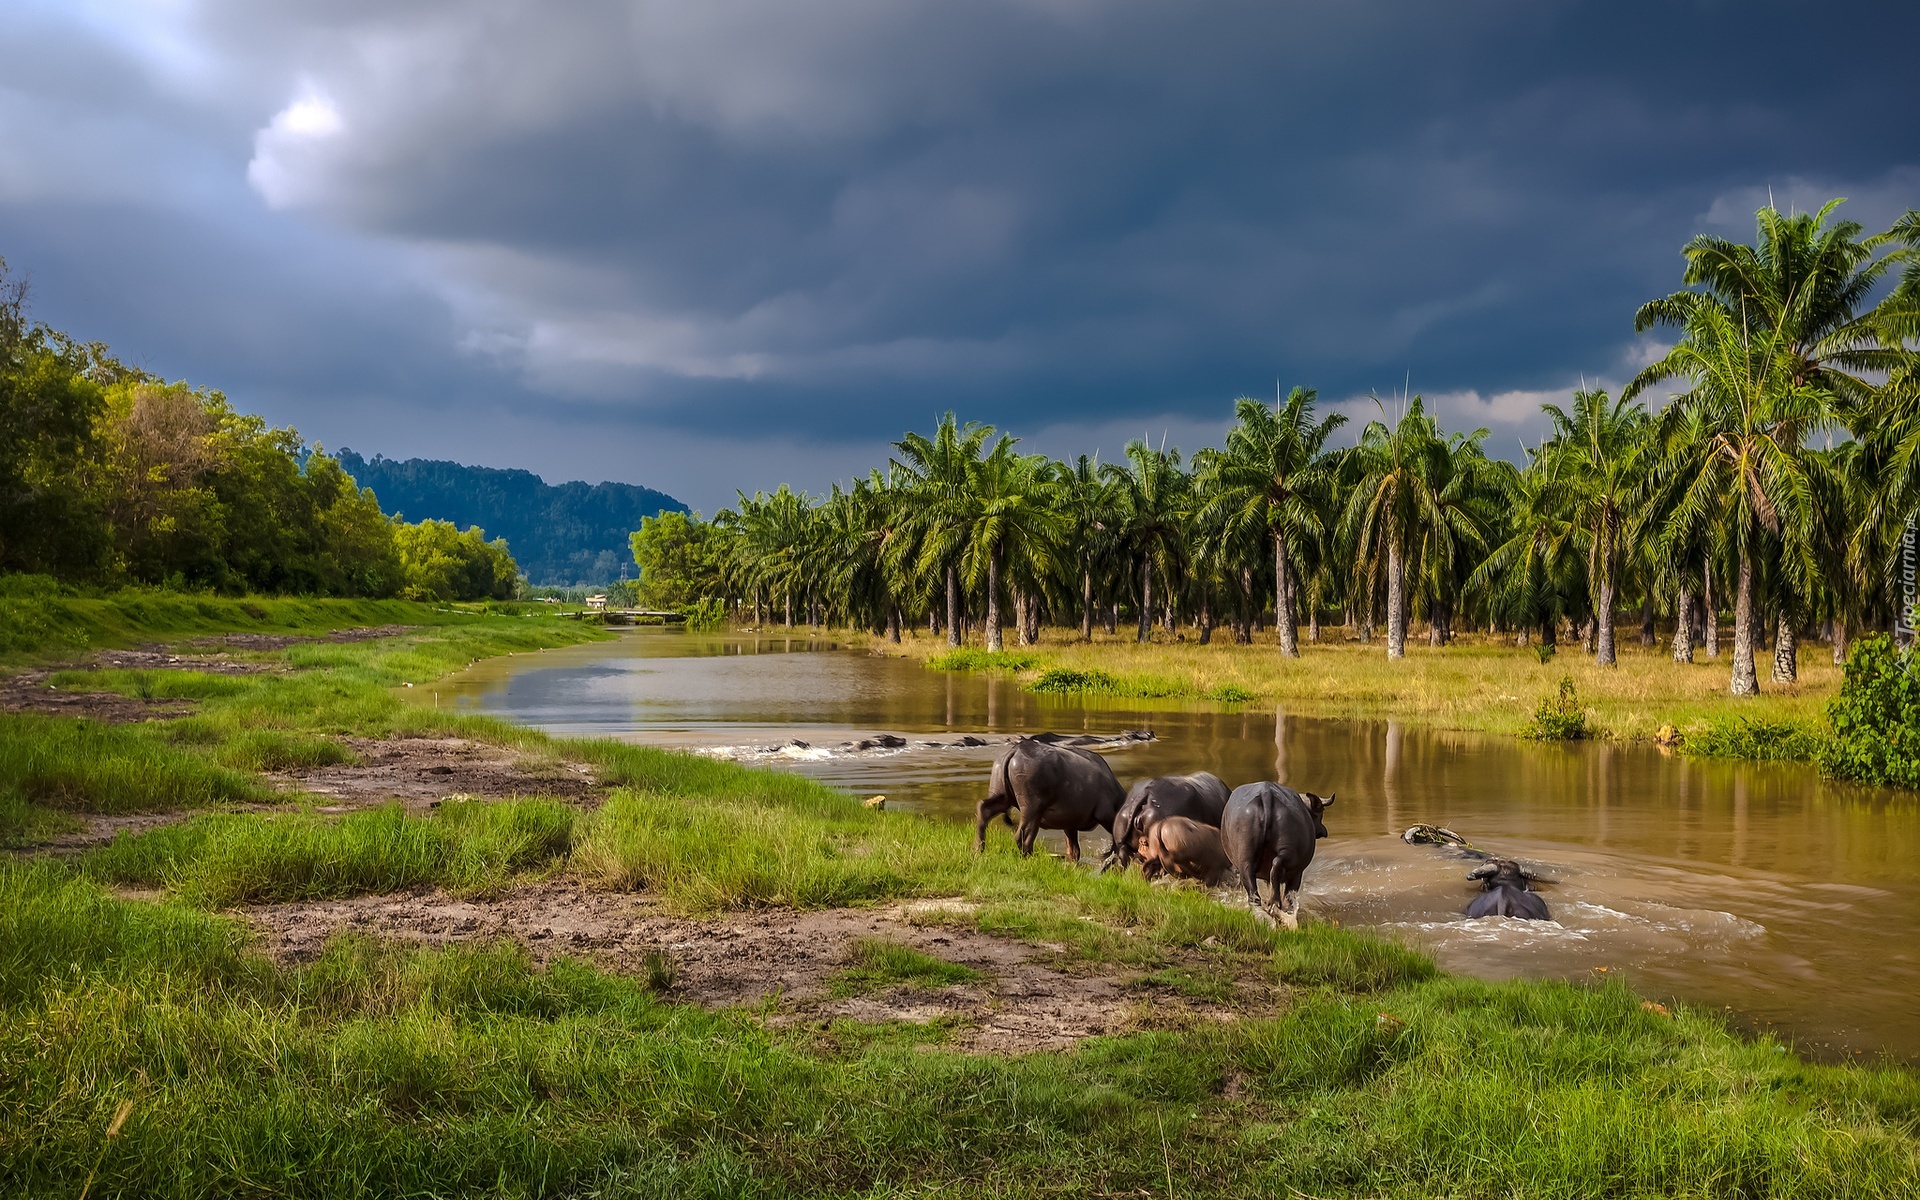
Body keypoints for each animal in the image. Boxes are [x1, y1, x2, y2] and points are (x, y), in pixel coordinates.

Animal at [975, 733, 1121, 856]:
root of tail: (1015, 751)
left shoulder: (1069, 825)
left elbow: (1074, 850)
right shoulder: (1105, 814)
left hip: (1002, 795)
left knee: (984, 809)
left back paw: (977, 850)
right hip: (1032, 808)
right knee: (1023, 835)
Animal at [1228, 775, 1336, 925]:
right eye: (1321, 813)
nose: (1324, 831)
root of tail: (1266, 794)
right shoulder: (1297, 873)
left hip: (1245, 859)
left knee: (1253, 890)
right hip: (1291, 859)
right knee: (1278, 869)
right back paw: (1276, 905)